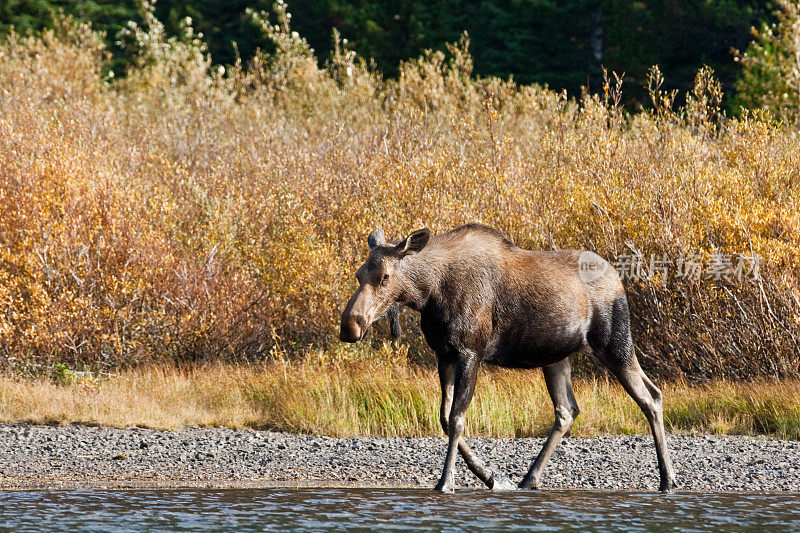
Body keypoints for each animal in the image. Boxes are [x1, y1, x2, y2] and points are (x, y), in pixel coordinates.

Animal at [338, 222, 676, 492]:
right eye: (358, 274)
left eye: (385, 276)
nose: (350, 326)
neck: (428, 294)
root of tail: (620, 281)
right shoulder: (443, 354)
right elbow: (445, 418)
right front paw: (490, 476)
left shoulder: (470, 352)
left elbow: (457, 419)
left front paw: (447, 481)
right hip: (558, 357)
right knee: (569, 411)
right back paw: (530, 478)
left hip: (614, 344)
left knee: (649, 398)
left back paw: (667, 478)